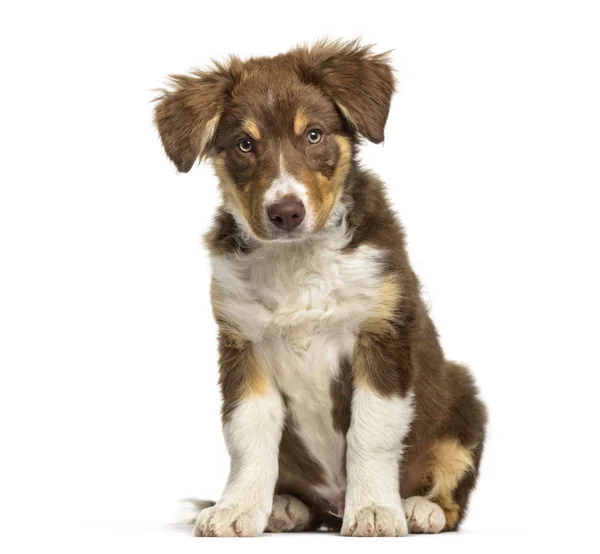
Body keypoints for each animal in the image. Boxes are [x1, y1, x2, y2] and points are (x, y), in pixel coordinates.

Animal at [155, 38, 488, 536]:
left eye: (313, 135)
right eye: (245, 144)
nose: (285, 213)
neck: (298, 257)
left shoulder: (382, 334)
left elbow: (370, 433)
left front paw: (374, 510)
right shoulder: (242, 346)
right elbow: (248, 439)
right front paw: (236, 509)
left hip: (462, 398)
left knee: (451, 494)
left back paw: (418, 508)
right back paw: (284, 507)